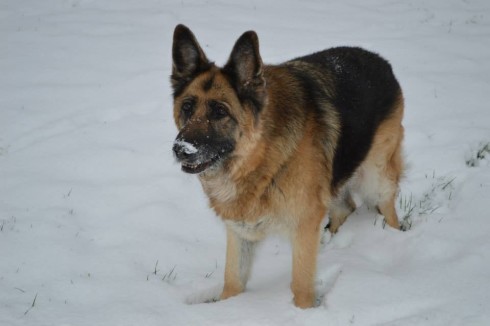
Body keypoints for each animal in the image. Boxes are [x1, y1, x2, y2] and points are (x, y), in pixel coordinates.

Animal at [170, 24, 404, 308]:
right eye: (187, 107)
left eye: (220, 112)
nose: (181, 150)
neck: (259, 158)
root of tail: (381, 61)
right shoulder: (240, 233)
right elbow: (233, 282)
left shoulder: (303, 224)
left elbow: (301, 286)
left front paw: (304, 312)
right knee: (346, 206)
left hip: (375, 178)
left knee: (388, 211)